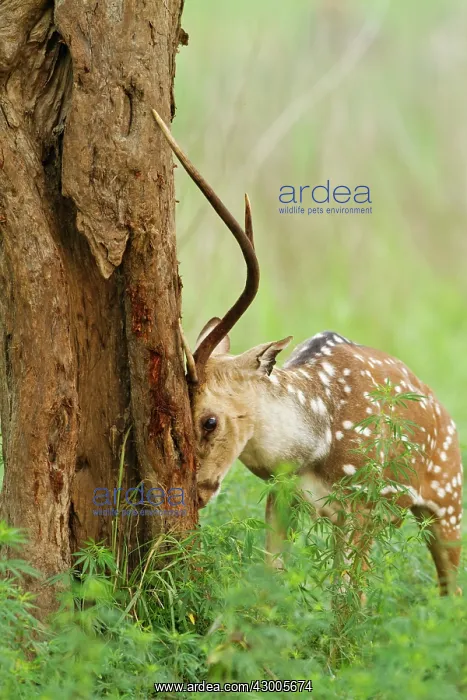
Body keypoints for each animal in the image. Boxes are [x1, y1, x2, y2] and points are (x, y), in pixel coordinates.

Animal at [152, 109, 463, 596]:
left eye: (209, 420)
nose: (198, 493)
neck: (311, 448)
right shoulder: (283, 499)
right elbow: (273, 582)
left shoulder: (365, 502)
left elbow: (348, 599)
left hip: (449, 503)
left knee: (449, 591)